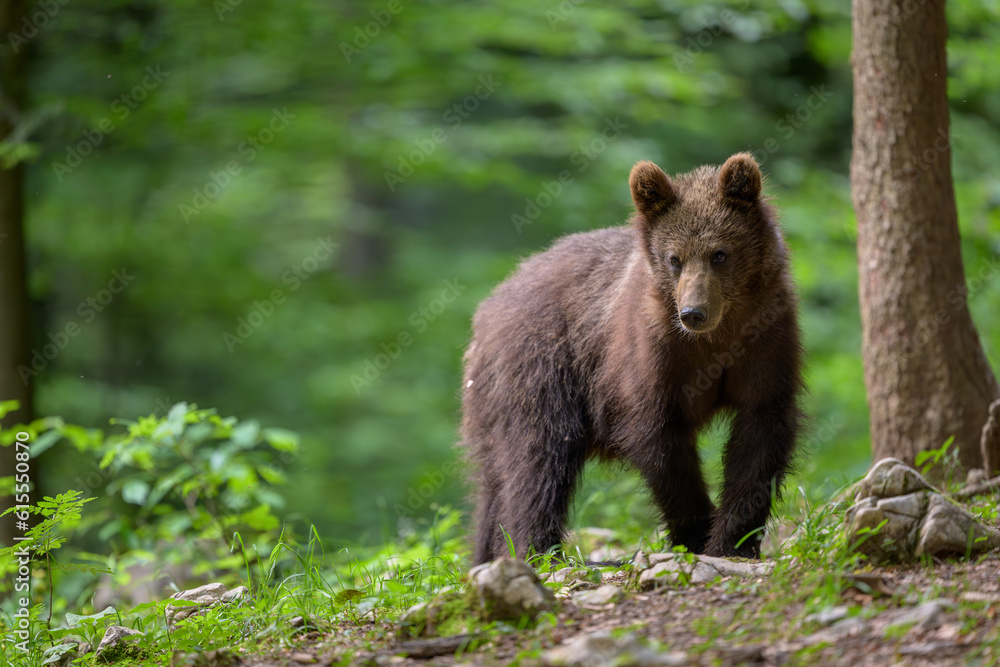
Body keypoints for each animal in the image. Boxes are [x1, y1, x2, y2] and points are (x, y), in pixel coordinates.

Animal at [462, 151, 804, 564]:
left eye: (719, 254)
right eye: (674, 258)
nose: (693, 313)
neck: (716, 336)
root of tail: (488, 308)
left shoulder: (765, 339)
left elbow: (760, 433)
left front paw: (733, 540)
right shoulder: (652, 352)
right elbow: (658, 441)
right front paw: (697, 531)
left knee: (494, 485)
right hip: (541, 367)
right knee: (537, 462)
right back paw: (535, 550)